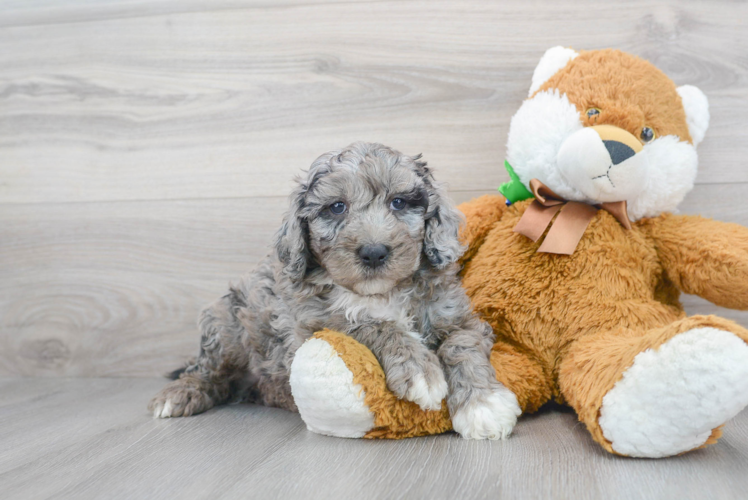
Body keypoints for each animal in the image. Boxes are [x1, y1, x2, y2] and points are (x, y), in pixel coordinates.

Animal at [147, 143, 520, 440]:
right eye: (337, 207)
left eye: (399, 202)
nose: (374, 252)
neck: (381, 292)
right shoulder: (314, 324)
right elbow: (373, 324)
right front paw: (420, 370)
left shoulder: (456, 315)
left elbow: (461, 345)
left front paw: (483, 406)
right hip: (225, 324)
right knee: (207, 371)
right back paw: (178, 395)